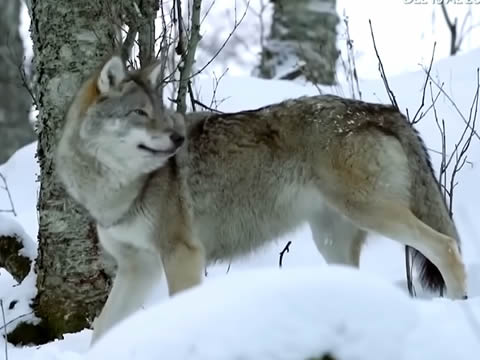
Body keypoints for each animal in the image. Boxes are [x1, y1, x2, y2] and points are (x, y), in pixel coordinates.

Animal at [54, 55, 466, 344]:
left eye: (162, 114)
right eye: (140, 113)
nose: (178, 140)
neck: (118, 188)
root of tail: (384, 111)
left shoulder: (181, 254)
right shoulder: (139, 267)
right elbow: (102, 327)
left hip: (372, 214)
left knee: (446, 247)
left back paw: (458, 308)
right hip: (332, 241)